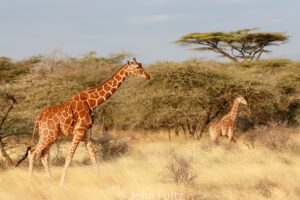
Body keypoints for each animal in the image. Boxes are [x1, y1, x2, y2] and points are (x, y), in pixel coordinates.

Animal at [15, 57, 149, 184]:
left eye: (141, 65)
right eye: (137, 67)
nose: (147, 76)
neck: (91, 102)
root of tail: (38, 117)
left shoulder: (87, 133)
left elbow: (93, 157)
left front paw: (99, 178)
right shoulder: (78, 131)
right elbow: (69, 157)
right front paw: (62, 183)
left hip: (51, 136)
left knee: (44, 155)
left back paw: (51, 181)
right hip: (48, 135)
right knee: (33, 152)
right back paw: (30, 182)